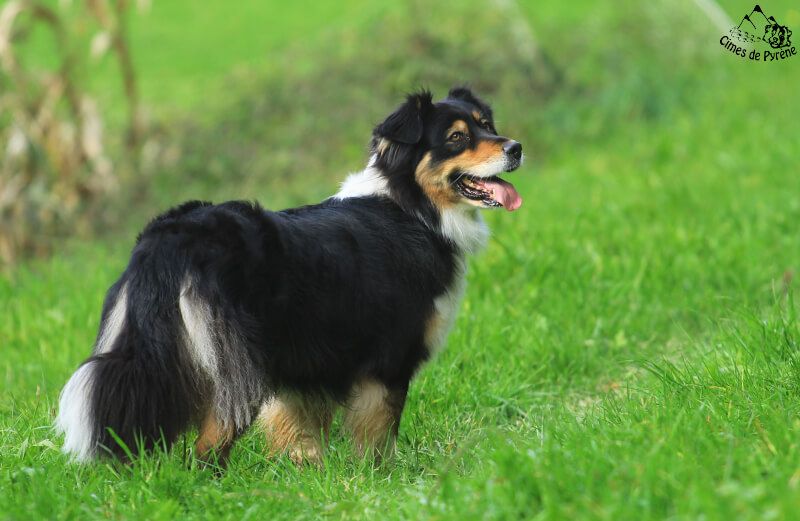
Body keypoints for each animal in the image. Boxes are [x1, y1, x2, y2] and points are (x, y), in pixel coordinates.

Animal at [53, 87, 520, 466]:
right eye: (456, 138)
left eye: (487, 125)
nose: (516, 147)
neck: (413, 208)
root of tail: (170, 236)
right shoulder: (388, 360)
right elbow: (379, 436)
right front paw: (380, 479)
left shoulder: (302, 369)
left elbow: (300, 435)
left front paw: (310, 477)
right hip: (238, 368)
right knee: (207, 447)